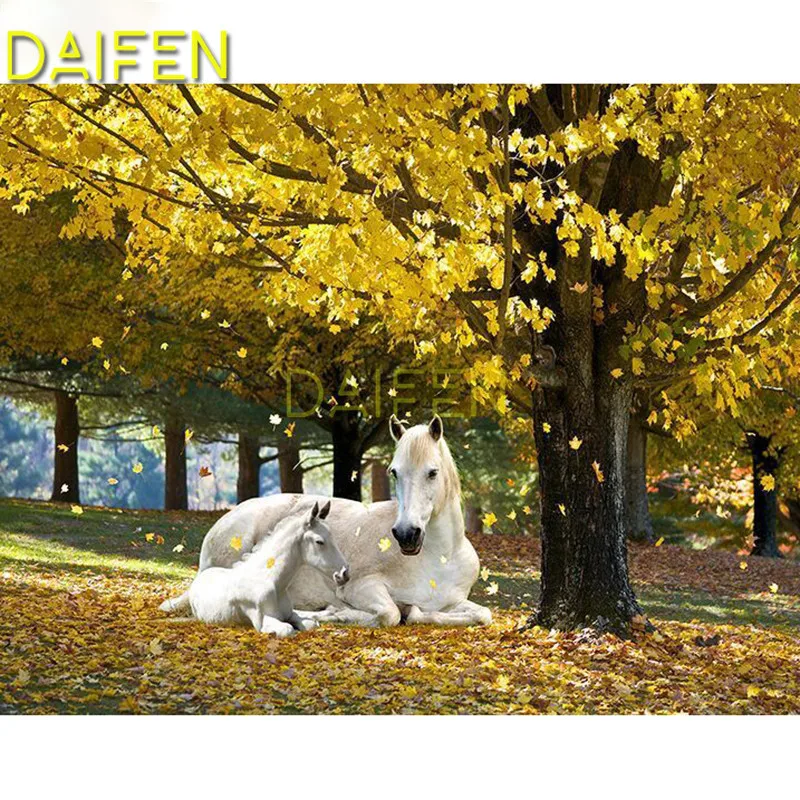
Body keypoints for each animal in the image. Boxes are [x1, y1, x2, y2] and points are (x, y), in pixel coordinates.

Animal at [159, 500, 349, 636]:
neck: (272, 582)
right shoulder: (264, 621)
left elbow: (310, 624)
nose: (344, 574)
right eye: (319, 541)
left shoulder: (290, 614)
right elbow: (288, 630)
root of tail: (202, 576)